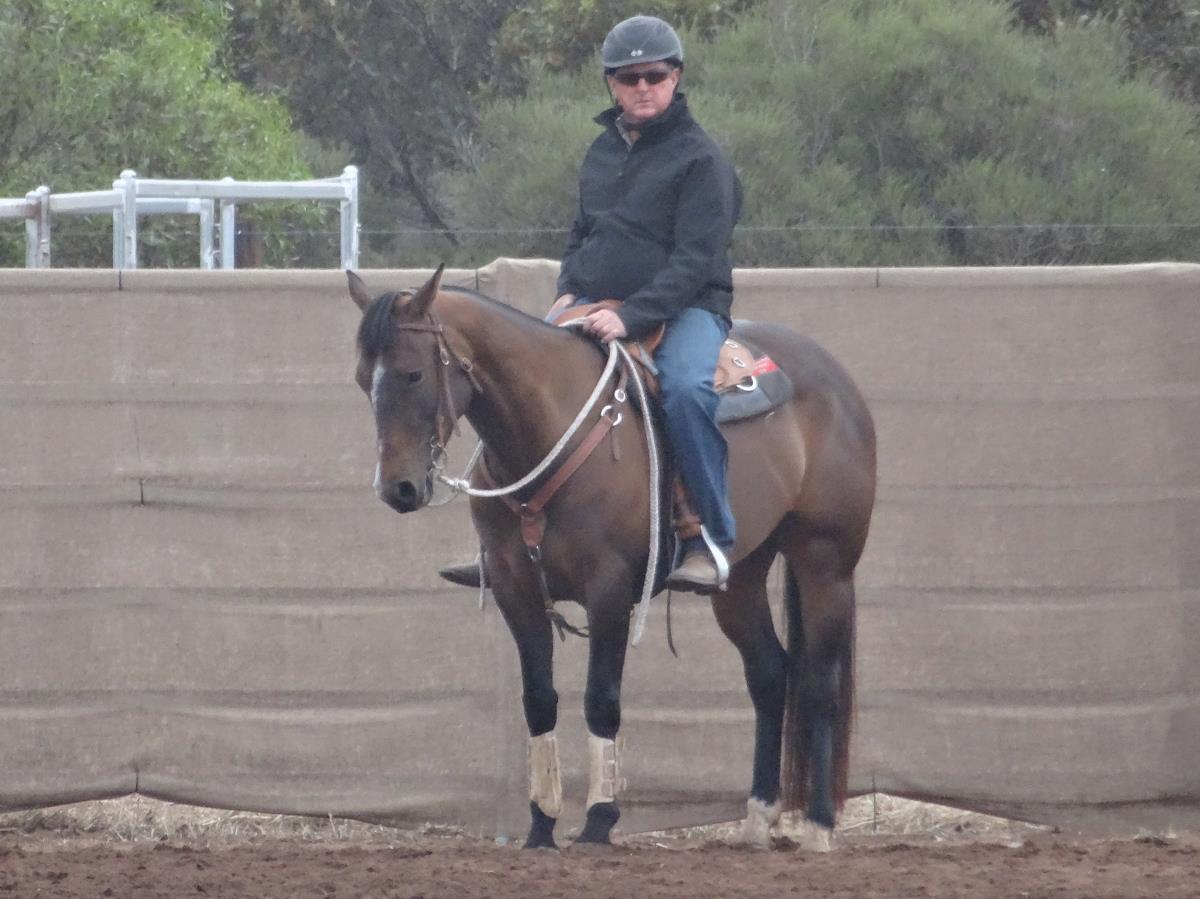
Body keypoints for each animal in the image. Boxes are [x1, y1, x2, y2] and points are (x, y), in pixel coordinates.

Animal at [346, 266, 876, 850]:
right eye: (362, 378)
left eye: (414, 374)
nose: (397, 489)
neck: (549, 430)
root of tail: (836, 380)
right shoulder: (515, 589)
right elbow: (539, 700)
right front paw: (541, 826)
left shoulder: (610, 590)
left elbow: (601, 698)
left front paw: (599, 821)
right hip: (740, 579)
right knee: (768, 674)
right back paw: (757, 820)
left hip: (825, 562)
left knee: (819, 684)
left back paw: (819, 828)